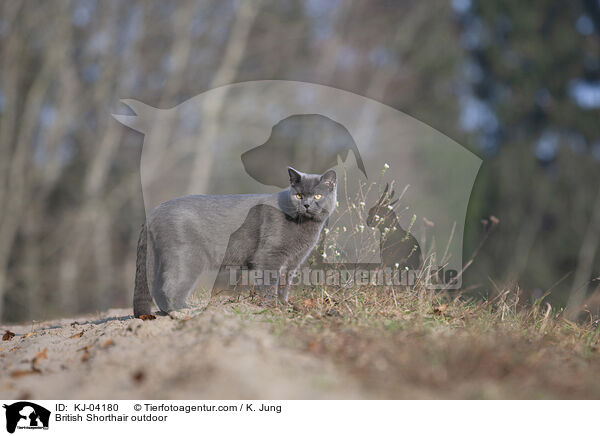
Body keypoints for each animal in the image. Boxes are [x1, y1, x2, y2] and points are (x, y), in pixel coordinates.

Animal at [133, 167, 336, 316]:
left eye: (317, 196)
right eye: (299, 195)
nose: (306, 205)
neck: (303, 225)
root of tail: (152, 213)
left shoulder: (293, 261)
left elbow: (284, 285)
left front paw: (284, 304)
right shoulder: (270, 256)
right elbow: (269, 282)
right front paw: (271, 305)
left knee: (156, 286)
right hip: (186, 257)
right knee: (169, 285)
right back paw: (182, 310)